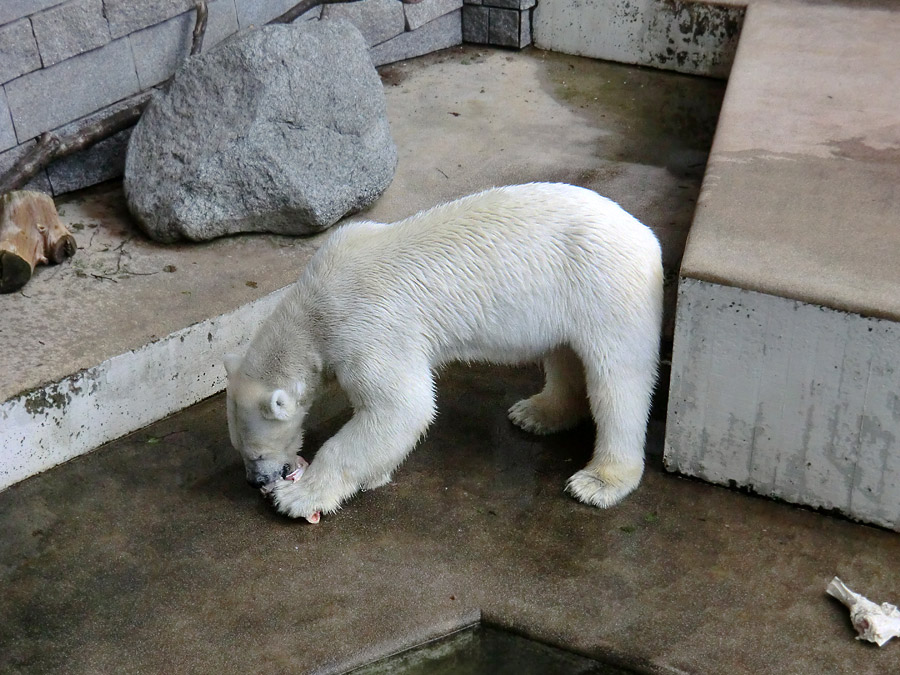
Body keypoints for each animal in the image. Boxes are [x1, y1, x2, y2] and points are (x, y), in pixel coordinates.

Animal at [223, 182, 660, 520]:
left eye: (256, 453)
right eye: (240, 449)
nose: (255, 481)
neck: (312, 306)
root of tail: (647, 237)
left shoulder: (366, 327)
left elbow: (401, 406)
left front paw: (296, 497)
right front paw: (375, 474)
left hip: (606, 287)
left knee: (617, 382)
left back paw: (599, 481)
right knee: (564, 353)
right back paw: (537, 413)